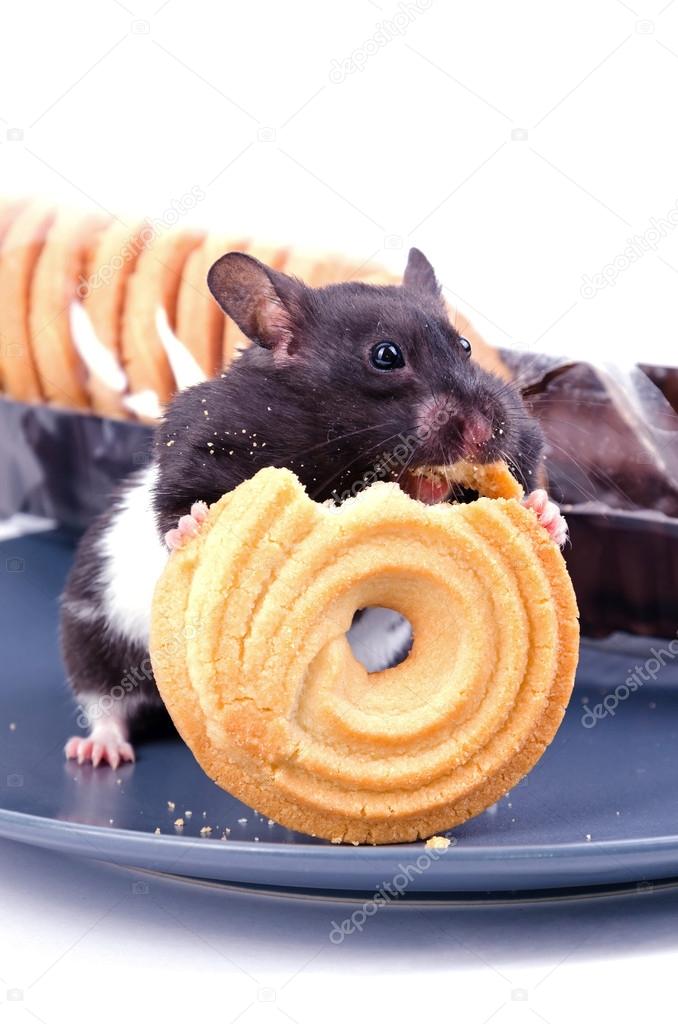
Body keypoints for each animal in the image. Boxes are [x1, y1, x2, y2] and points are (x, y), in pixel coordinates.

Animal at [61, 248, 567, 768]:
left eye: (464, 346)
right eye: (386, 355)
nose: (487, 432)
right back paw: (97, 752)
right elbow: (177, 504)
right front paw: (197, 525)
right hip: (93, 634)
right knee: (104, 701)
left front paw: (544, 513)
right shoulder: (195, 443)